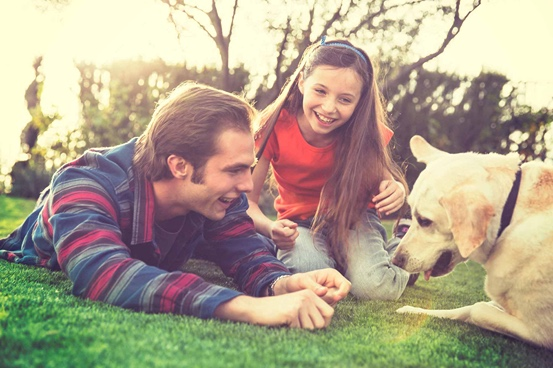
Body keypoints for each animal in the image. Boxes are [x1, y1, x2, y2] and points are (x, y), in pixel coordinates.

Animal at [390, 134, 552, 348]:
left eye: (424, 221)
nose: (395, 260)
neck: (510, 219)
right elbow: (465, 309)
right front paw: (413, 310)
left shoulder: (541, 332)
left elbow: (478, 309)